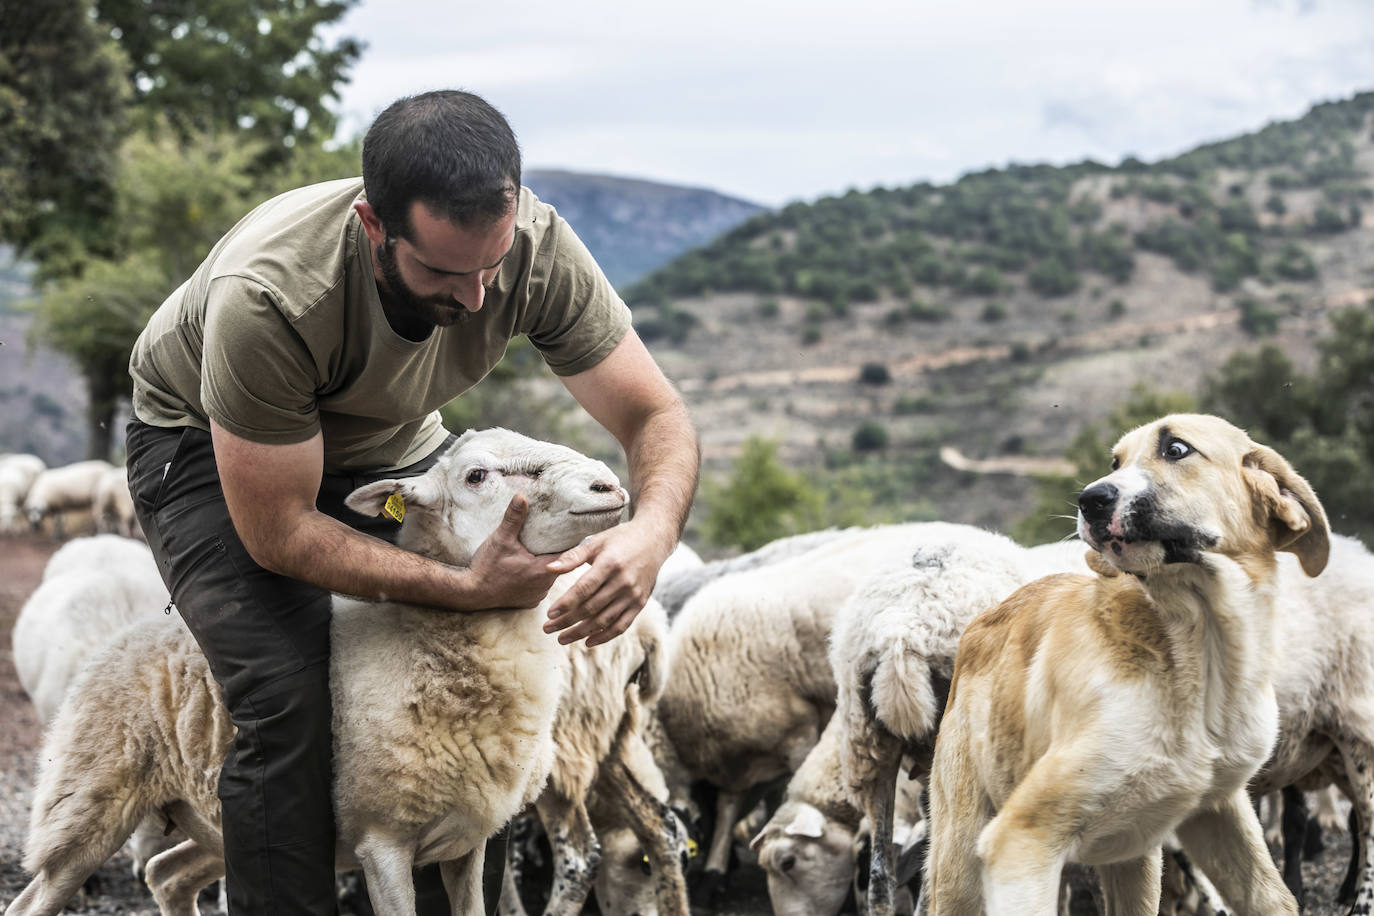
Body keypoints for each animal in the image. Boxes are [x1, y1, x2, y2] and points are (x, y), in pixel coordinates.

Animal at [4, 431, 629, 916]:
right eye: (477, 476)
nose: (607, 486)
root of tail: (129, 631)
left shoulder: (466, 842)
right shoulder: (383, 843)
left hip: (209, 825)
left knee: (167, 875)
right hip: (88, 800)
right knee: (37, 898)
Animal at [923, 417, 1330, 916]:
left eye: (1176, 449)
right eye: (1114, 463)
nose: (1089, 500)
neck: (1200, 651)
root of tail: (983, 618)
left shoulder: (1217, 810)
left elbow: (1274, 898)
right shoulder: (1022, 838)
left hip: (1134, 858)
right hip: (961, 859)